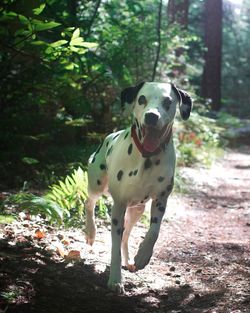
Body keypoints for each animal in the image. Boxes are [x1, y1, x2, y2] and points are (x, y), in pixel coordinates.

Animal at [85, 81, 192, 292]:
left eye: (168, 101)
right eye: (142, 99)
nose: (152, 116)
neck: (147, 158)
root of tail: (110, 135)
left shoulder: (161, 200)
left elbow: (153, 232)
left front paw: (143, 255)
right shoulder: (118, 206)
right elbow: (114, 247)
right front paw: (115, 280)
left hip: (137, 210)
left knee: (126, 235)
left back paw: (129, 260)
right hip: (97, 183)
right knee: (89, 202)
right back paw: (91, 232)